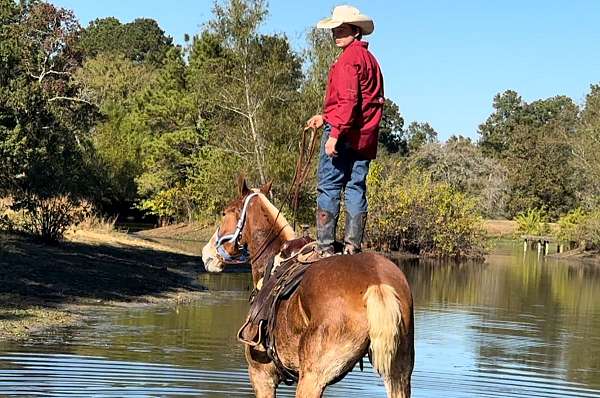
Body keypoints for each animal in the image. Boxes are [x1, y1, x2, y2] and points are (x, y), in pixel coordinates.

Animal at [202, 179, 412, 396]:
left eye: (224, 213)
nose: (207, 254)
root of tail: (377, 284)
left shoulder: (261, 376)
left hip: (313, 377)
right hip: (399, 375)